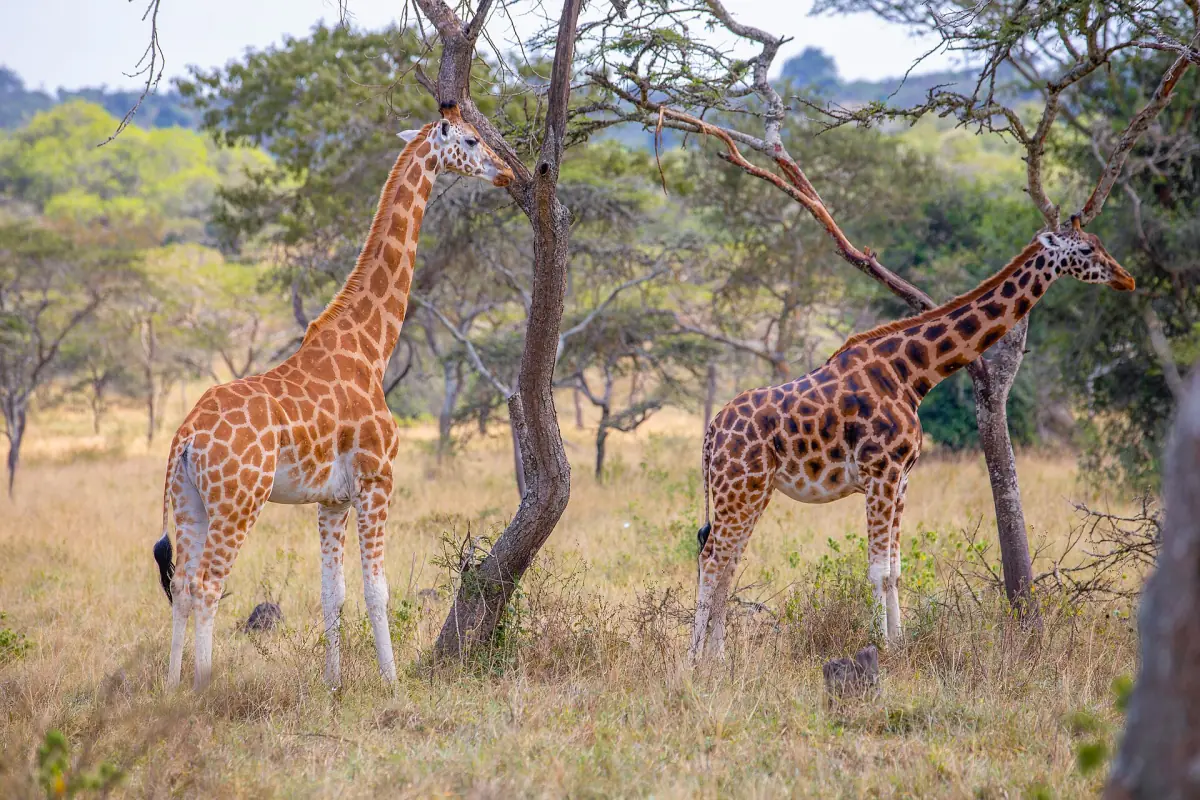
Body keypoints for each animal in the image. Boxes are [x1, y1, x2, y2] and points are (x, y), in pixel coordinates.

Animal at [151, 103, 514, 690]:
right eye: (469, 140)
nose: (506, 174)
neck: (371, 345)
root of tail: (185, 437)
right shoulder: (377, 480)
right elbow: (376, 589)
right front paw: (391, 683)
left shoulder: (331, 499)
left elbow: (331, 593)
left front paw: (334, 684)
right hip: (239, 500)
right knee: (207, 586)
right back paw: (203, 690)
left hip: (189, 501)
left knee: (182, 585)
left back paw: (170, 690)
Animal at [692, 219, 1136, 661]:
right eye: (1085, 250)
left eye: (1099, 242)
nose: (1126, 279)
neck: (911, 374)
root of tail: (711, 433)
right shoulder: (880, 474)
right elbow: (878, 570)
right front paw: (881, 646)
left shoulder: (901, 479)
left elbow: (895, 570)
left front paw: (899, 644)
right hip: (738, 489)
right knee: (712, 558)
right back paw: (695, 659)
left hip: (754, 491)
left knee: (728, 561)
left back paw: (720, 656)